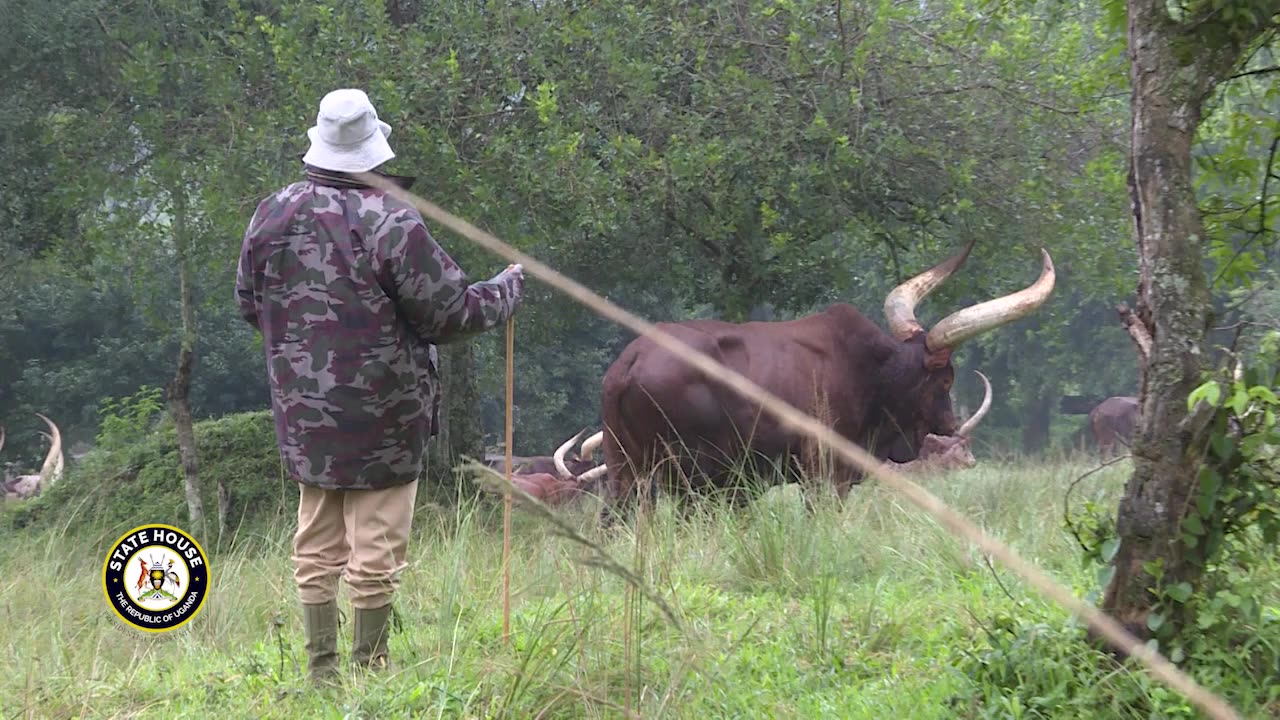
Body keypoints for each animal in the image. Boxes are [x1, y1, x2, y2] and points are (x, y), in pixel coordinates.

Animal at [593, 240, 1054, 515]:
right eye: (945, 380)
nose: (951, 425)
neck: (871, 373)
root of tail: (631, 360)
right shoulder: (824, 472)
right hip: (689, 474)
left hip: (624, 469)